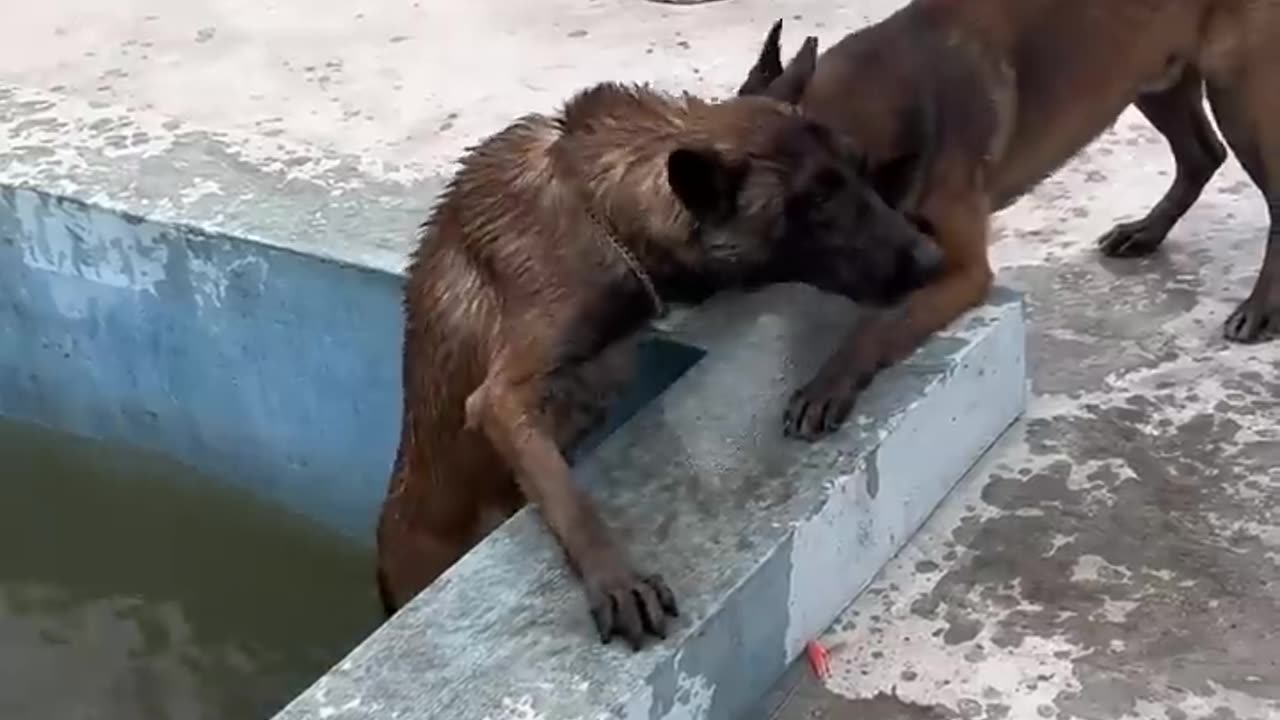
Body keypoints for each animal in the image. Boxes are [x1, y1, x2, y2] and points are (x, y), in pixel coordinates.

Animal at [373, 81, 947, 648]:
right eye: (819, 201)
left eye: (862, 170)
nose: (933, 261)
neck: (597, 202)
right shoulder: (501, 396)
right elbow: (572, 500)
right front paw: (616, 577)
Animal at [737, 2, 1280, 438]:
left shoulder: (962, 271)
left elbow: (881, 323)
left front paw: (830, 381)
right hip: (1153, 75)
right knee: (1201, 155)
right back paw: (1145, 232)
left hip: (1237, 92)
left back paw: (1260, 307)